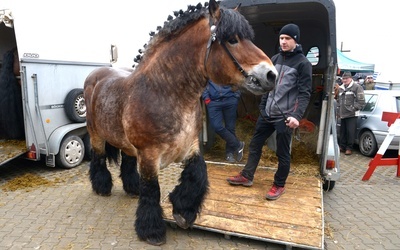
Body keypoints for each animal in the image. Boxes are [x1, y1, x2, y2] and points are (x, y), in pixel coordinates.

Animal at [83, 0, 278, 246]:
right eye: (233, 39)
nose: (272, 75)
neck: (164, 92)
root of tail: (95, 76)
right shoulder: (149, 156)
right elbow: (152, 191)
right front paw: (151, 230)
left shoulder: (190, 147)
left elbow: (198, 174)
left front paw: (183, 211)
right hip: (96, 134)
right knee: (98, 158)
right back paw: (102, 186)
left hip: (125, 142)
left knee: (127, 162)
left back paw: (132, 187)